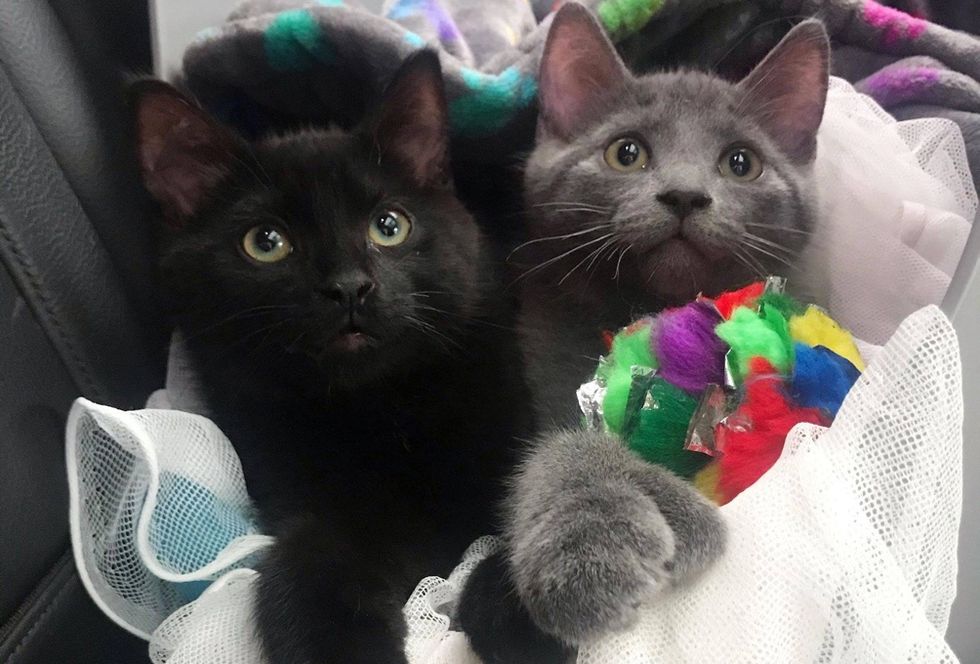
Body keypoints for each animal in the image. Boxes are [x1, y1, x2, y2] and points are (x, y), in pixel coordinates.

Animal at [133, 53, 532, 664]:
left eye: (389, 226)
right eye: (265, 242)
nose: (348, 287)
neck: (380, 409)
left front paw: (526, 616)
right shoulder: (316, 508)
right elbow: (308, 564)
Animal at [460, 6, 828, 664]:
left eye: (741, 162)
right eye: (625, 153)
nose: (684, 194)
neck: (649, 306)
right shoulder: (550, 359)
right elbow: (562, 445)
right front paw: (597, 539)